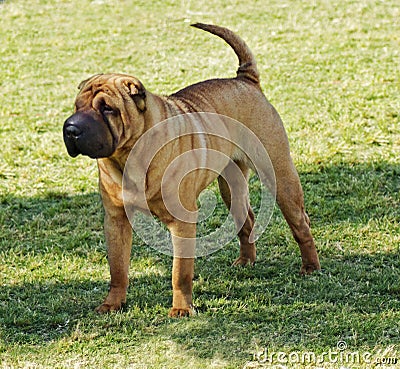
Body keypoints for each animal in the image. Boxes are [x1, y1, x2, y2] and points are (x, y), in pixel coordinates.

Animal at [62, 23, 320, 316]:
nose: (71, 128)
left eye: (107, 108)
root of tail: (246, 80)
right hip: (231, 186)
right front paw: (112, 304)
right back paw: (245, 261)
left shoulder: (182, 222)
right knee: (247, 220)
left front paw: (182, 308)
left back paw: (310, 267)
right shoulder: (116, 220)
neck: (129, 156)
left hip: (279, 174)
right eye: (77, 106)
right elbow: (117, 269)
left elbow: (180, 272)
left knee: (300, 222)